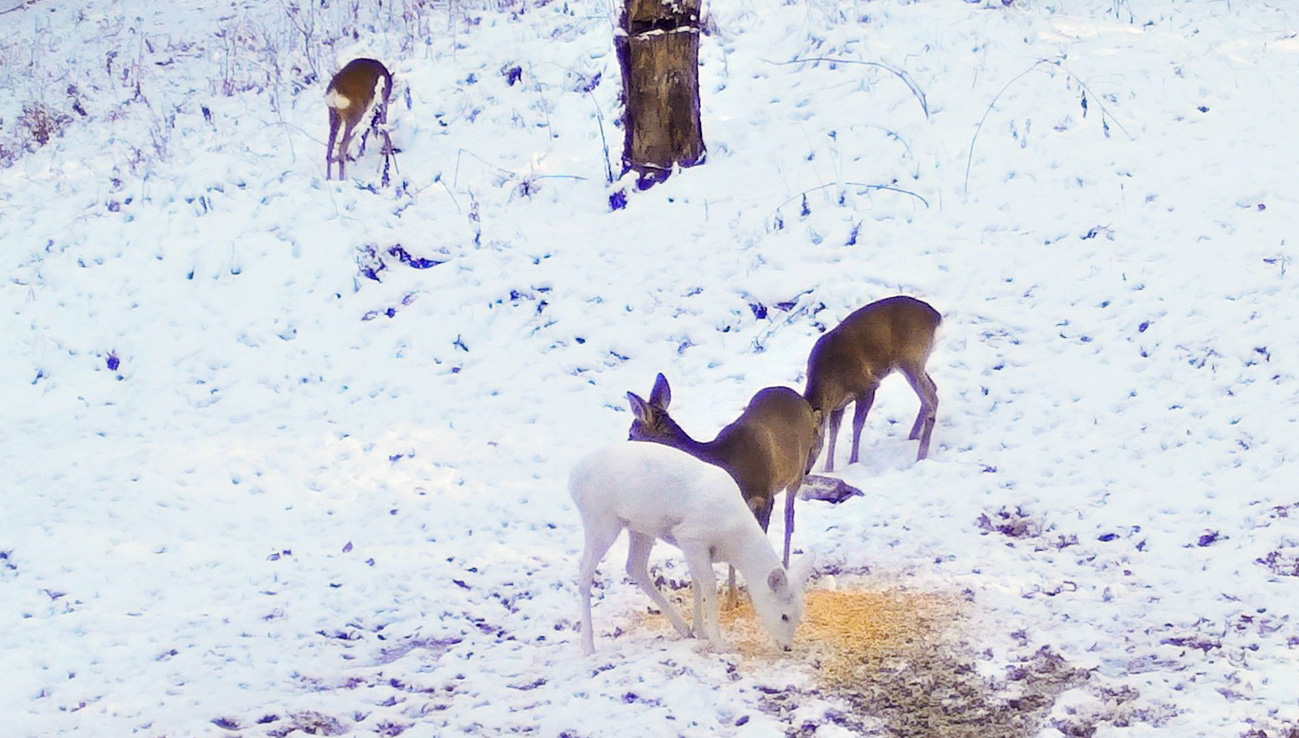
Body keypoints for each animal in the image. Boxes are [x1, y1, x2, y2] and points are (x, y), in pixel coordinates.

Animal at [571, 441, 800, 654]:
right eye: (784, 616)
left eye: (799, 614)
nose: (787, 647)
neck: (733, 541)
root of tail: (572, 479)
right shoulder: (691, 537)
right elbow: (708, 584)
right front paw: (719, 643)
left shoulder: (692, 547)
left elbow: (696, 582)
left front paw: (699, 630)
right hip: (601, 521)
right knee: (584, 572)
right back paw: (588, 646)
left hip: (640, 528)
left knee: (634, 566)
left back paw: (682, 627)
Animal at [623, 371, 815, 608]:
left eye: (631, 433)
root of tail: (801, 399)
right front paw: (732, 598)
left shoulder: (765, 495)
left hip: (799, 467)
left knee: (790, 514)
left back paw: (786, 564)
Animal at [800, 293, 945, 472]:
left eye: (811, 445)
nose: (804, 471)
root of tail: (936, 316)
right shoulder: (838, 405)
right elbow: (834, 432)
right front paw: (829, 469)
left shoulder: (867, 387)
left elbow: (856, 425)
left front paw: (853, 461)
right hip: (914, 362)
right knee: (933, 388)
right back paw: (913, 435)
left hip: (910, 357)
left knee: (931, 399)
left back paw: (921, 455)